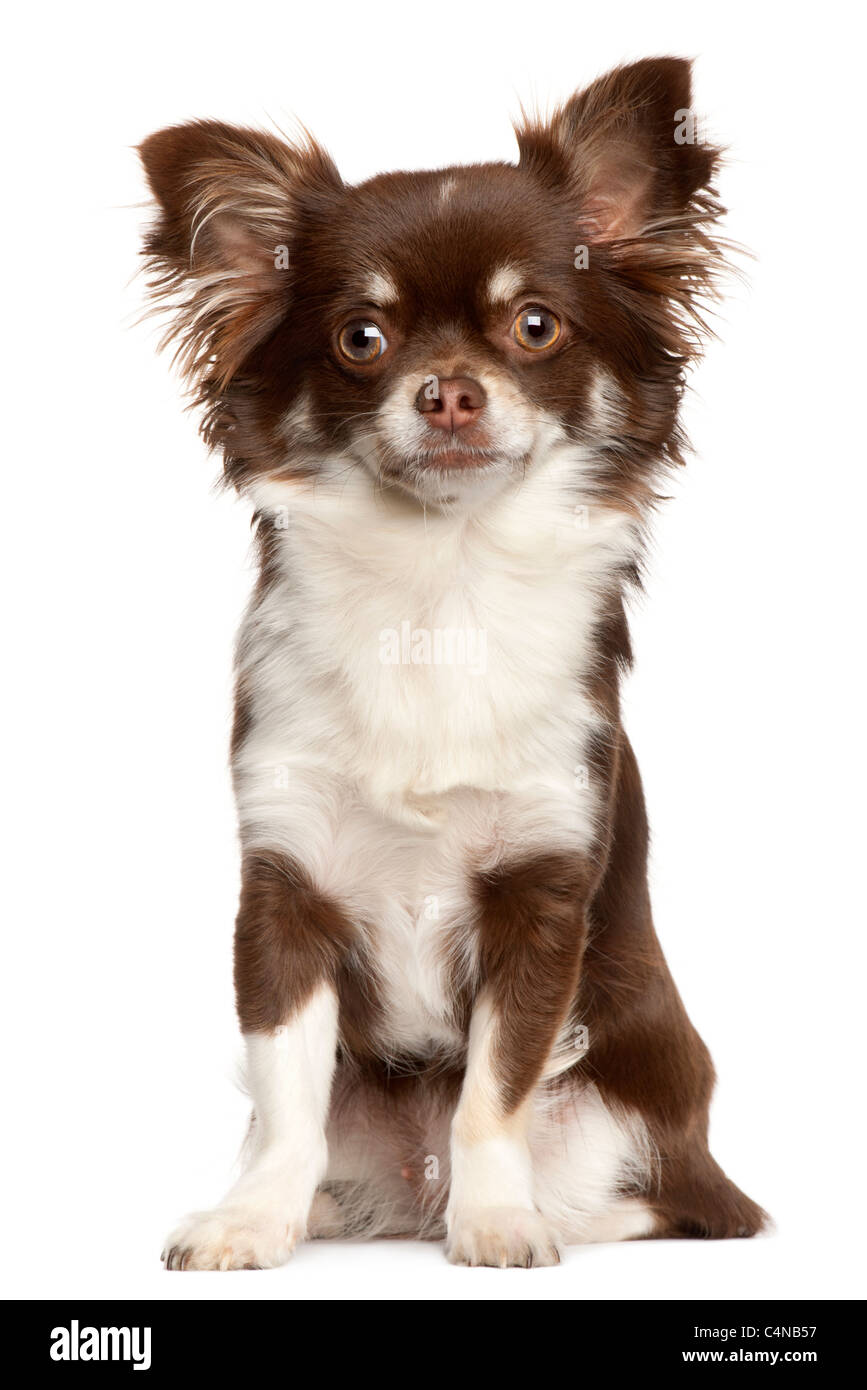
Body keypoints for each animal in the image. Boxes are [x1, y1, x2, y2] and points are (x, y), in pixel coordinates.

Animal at [140, 56, 766, 1273]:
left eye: (534, 325)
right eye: (361, 339)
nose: (450, 389)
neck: (439, 584)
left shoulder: (540, 894)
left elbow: (496, 1086)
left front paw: (498, 1222)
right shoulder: (285, 887)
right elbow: (286, 1095)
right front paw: (252, 1222)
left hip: (637, 1108)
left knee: (678, 1199)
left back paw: (541, 1209)